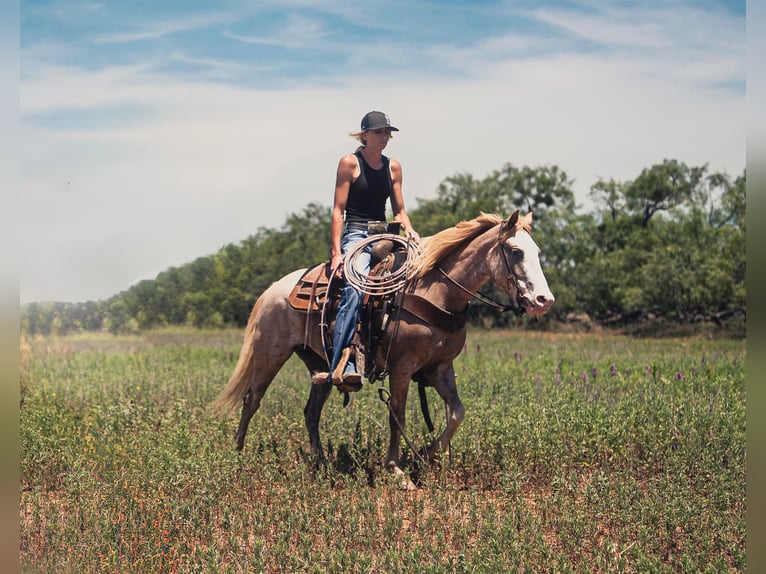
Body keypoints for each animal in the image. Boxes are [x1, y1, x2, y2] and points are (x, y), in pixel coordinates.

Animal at [211, 210, 554, 489]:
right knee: (252, 400)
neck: (434, 291)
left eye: (538, 251)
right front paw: (396, 470)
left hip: (320, 364)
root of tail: (275, 288)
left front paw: (425, 456)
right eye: (515, 251)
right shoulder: (402, 368)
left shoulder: (440, 367)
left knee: (310, 412)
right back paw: (238, 456)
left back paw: (322, 464)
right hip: (270, 354)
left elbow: (457, 413)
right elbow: (397, 416)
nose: (544, 300)